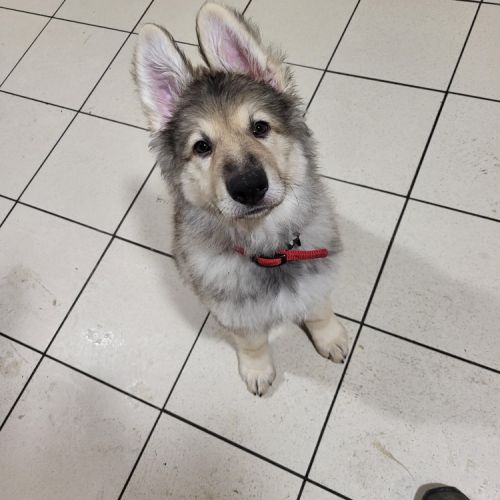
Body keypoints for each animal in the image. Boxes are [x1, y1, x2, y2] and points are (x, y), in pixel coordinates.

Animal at [133, 2, 348, 396]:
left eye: (259, 127)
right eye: (202, 147)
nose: (249, 187)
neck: (270, 251)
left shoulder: (317, 276)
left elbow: (319, 309)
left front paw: (330, 337)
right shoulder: (235, 314)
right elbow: (253, 341)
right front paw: (258, 369)